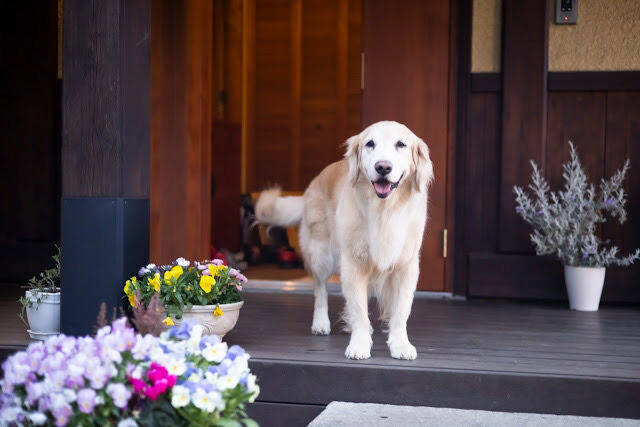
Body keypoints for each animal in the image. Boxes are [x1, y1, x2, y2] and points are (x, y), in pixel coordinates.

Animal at [256, 121, 436, 362]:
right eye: (370, 144)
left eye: (401, 144)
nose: (383, 167)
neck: (384, 210)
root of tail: (314, 181)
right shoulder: (353, 263)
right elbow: (359, 309)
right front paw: (359, 345)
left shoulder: (406, 266)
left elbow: (400, 311)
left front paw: (400, 344)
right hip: (321, 253)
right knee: (320, 290)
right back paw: (320, 323)